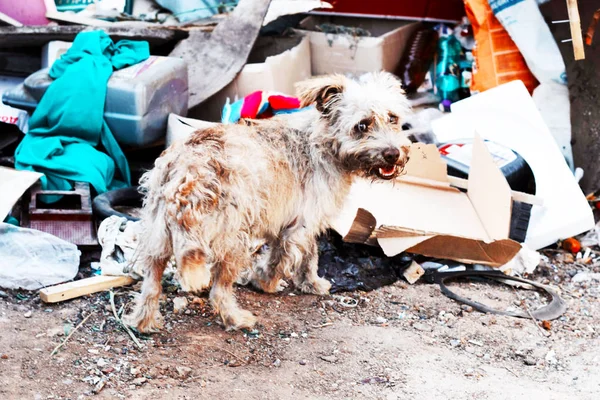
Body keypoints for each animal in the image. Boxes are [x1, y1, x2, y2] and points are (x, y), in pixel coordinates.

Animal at [126, 72, 412, 332]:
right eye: (362, 126)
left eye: (393, 118)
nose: (393, 153)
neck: (322, 140)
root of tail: (189, 171)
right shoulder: (299, 225)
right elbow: (282, 258)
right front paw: (266, 283)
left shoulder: (301, 221)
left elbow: (309, 255)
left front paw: (311, 283)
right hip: (233, 241)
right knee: (219, 291)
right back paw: (236, 319)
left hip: (157, 239)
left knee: (151, 286)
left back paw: (142, 322)